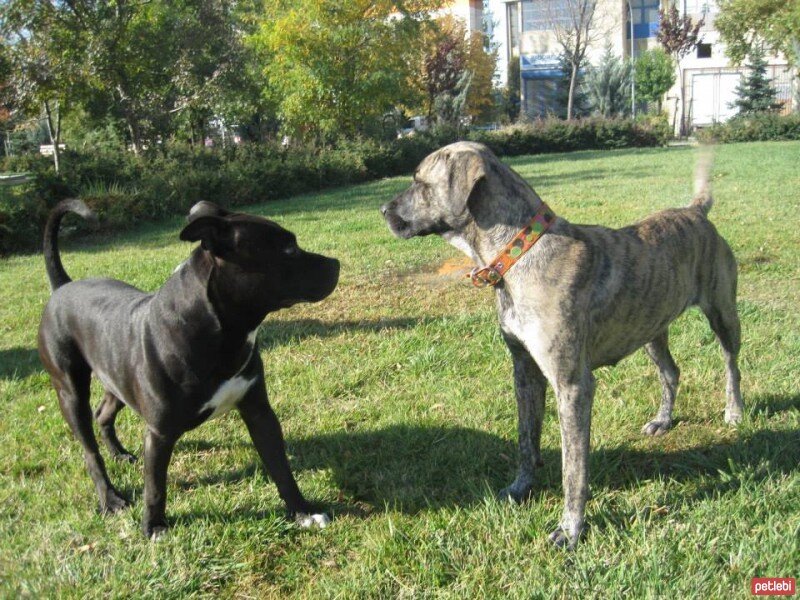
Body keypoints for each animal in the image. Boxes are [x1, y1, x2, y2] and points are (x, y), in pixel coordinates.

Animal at [38, 199, 338, 536]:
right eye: (288, 249)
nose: (336, 264)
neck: (220, 332)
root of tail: (62, 287)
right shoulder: (159, 433)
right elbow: (155, 486)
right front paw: (153, 527)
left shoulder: (259, 411)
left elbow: (281, 467)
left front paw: (303, 512)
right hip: (69, 391)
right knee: (90, 450)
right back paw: (110, 497)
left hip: (115, 376)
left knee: (103, 413)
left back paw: (119, 454)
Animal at [382, 141, 744, 548]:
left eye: (419, 182)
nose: (383, 211)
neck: (519, 252)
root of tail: (695, 212)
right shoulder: (525, 372)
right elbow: (527, 440)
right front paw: (520, 489)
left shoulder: (571, 385)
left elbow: (573, 467)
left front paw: (571, 528)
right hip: (651, 327)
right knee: (671, 372)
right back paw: (663, 421)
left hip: (722, 313)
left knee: (731, 363)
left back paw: (734, 410)